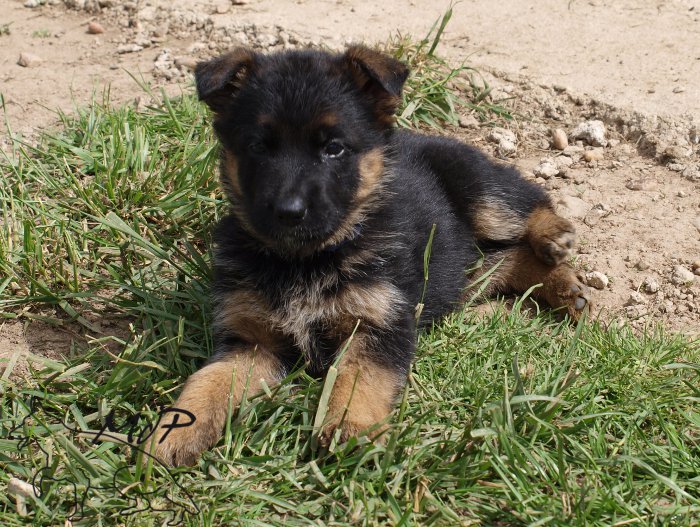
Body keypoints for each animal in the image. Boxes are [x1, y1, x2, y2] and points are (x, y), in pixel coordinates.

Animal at [149, 45, 592, 466]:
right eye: (258, 146)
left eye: (334, 149)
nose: (289, 212)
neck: (307, 259)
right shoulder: (251, 340)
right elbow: (208, 380)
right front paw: (173, 432)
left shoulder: (379, 323)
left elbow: (360, 377)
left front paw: (350, 427)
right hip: (460, 268)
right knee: (506, 260)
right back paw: (565, 287)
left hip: (482, 194)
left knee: (528, 200)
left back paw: (555, 238)